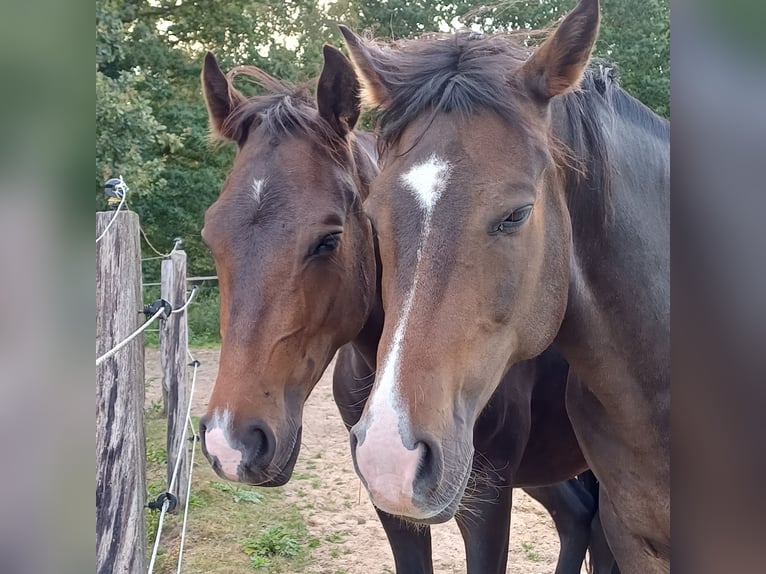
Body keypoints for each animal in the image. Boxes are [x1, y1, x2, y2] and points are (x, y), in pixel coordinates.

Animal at [196, 48, 615, 573]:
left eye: (328, 239)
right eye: (211, 235)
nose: (230, 444)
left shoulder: (487, 498)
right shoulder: (391, 496)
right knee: (578, 518)